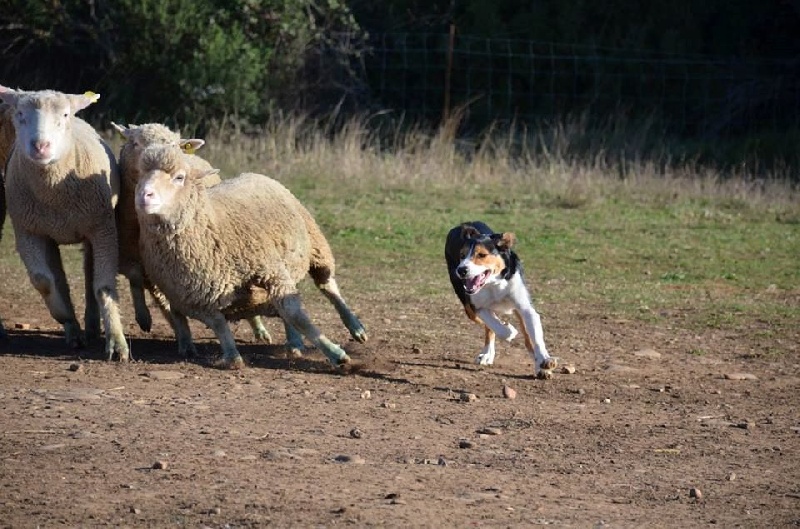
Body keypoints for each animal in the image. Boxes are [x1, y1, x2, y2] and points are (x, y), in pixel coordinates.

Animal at [0, 85, 128, 358]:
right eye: (19, 114)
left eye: (65, 115)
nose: (40, 146)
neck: (54, 189)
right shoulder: (28, 231)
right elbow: (44, 281)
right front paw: (66, 318)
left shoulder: (103, 230)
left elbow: (103, 286)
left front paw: (116, 342)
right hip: (49, 232)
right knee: (58, 277)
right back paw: (75, 330)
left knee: (89, 274)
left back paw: (92, 325)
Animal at [109, 121, 272, 340]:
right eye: (135, 143)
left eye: (173, 146)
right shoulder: (130, 254)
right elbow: (137, 278)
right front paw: (145, 317)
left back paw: (259, 329)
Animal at [134, 142, 366, 370]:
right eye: (140, 175)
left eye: (179, 177)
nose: (144, 195)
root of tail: (251, 173)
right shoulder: (194, 298)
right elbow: (219, 324)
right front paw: (232, 357)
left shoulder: (270, 269)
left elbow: (294, 313)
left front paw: (335, 353)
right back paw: (294, 342)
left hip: (316, 245)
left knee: (327, 286)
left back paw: (356, 328)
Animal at [444, 221, 556, 378]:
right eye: (462, 255)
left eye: (482, 255)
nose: (461, 270)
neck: (494, 284)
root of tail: (462, 225)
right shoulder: (477, 307)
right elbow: (498, 328)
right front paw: (509, 330)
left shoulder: (525, 308)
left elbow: (534, 337)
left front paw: (544, 362)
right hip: (468, 308)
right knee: (489, 326)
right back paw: (487, 354)